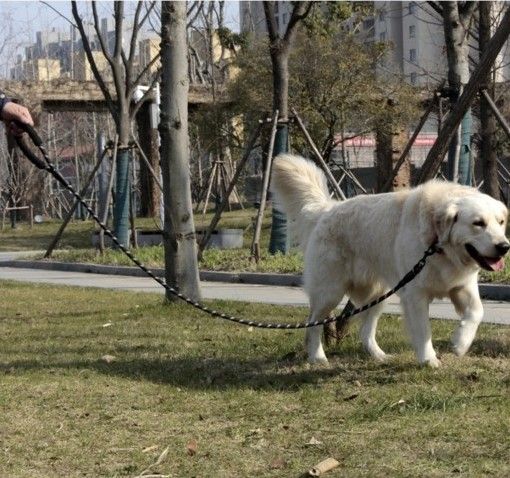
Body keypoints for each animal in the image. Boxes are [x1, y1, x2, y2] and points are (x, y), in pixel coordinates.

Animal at [272, 153, 508, 366]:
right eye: (478, 223)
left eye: (501, 222)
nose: (504, 247)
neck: (438, 246)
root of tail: (327, 209)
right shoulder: (415, 296)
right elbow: (423, 331)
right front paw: (429, 360)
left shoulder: (463, 287)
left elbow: (477, 311)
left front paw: (460, 343)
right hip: (329, 292)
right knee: (313, 323)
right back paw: (317, 357)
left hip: (379, 294)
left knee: (365, 330)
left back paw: (379, 356)